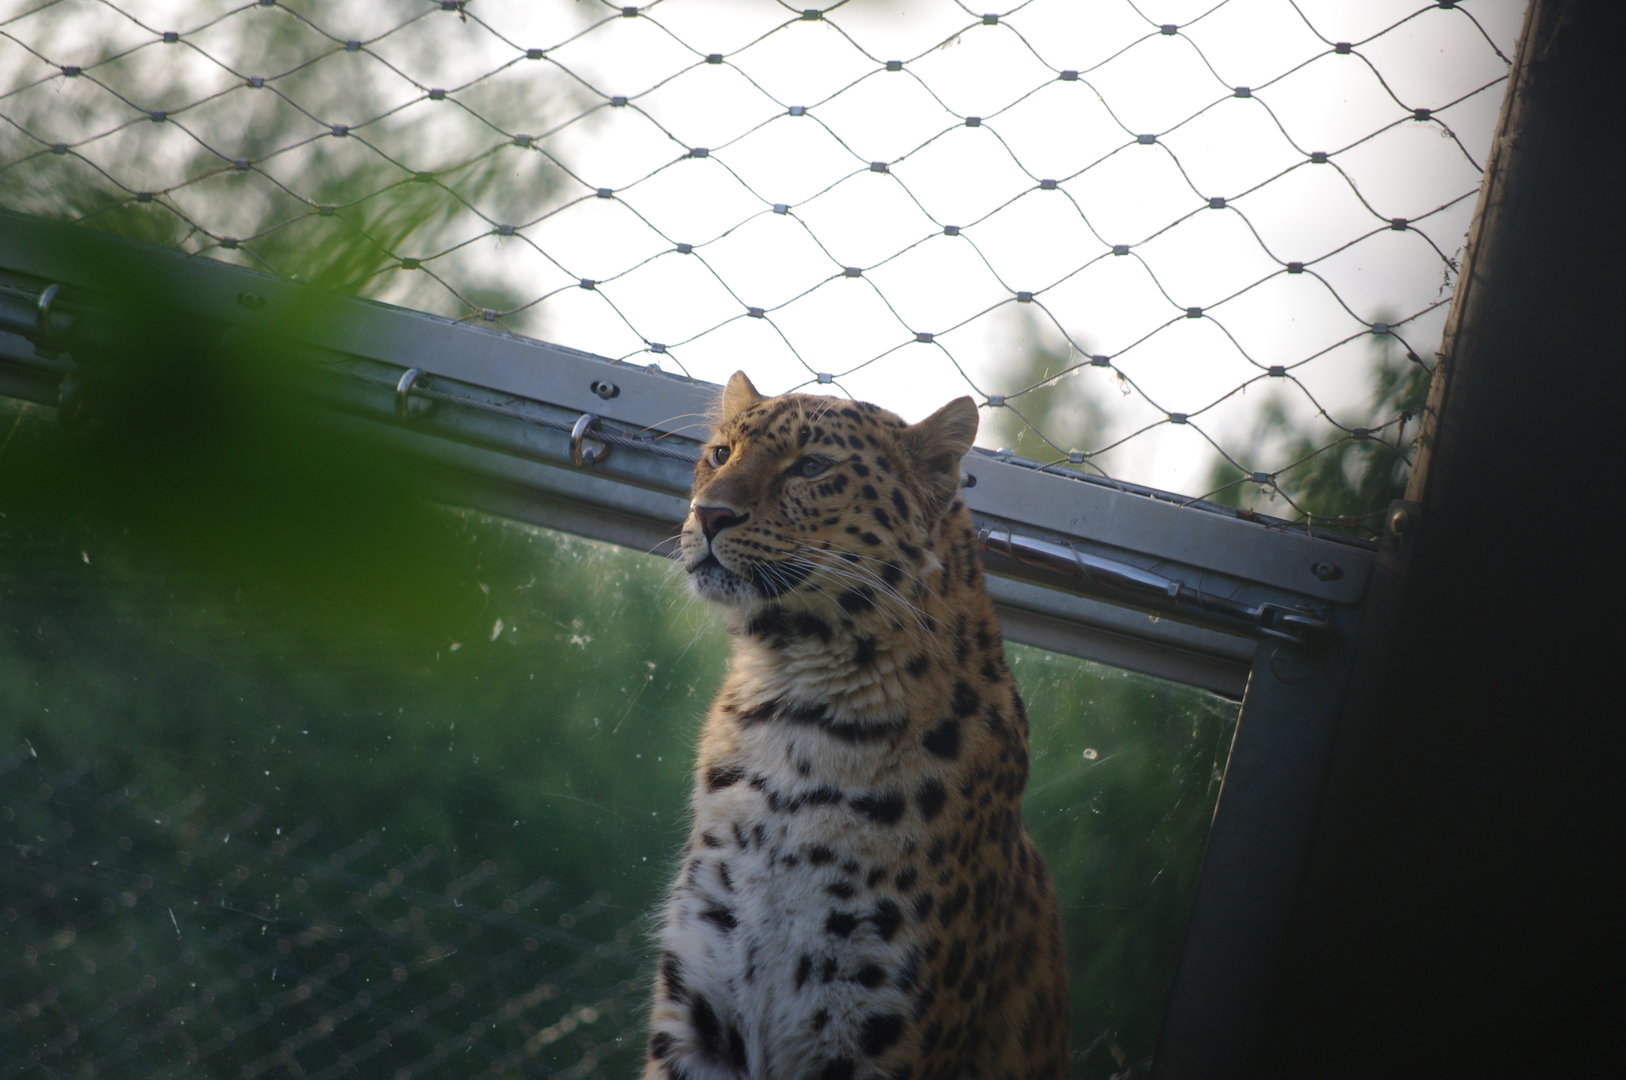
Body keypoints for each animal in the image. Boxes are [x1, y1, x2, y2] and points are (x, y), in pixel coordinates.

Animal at [643, 371, 1069, 1080]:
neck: (792, 704)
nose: (709, 513)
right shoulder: (700, 1011)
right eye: (720, 454)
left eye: (812, 467)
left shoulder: (873, 1024)